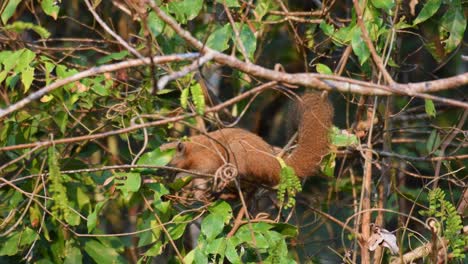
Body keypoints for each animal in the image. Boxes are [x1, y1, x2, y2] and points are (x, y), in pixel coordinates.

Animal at [165, 93, 332, 194]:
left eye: (167, 157)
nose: (163, 170)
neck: (191, 150)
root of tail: (272, 163)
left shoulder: (204, 159)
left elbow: (203, 169)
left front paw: (180, 176)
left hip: (239, 150)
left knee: (240, 169)